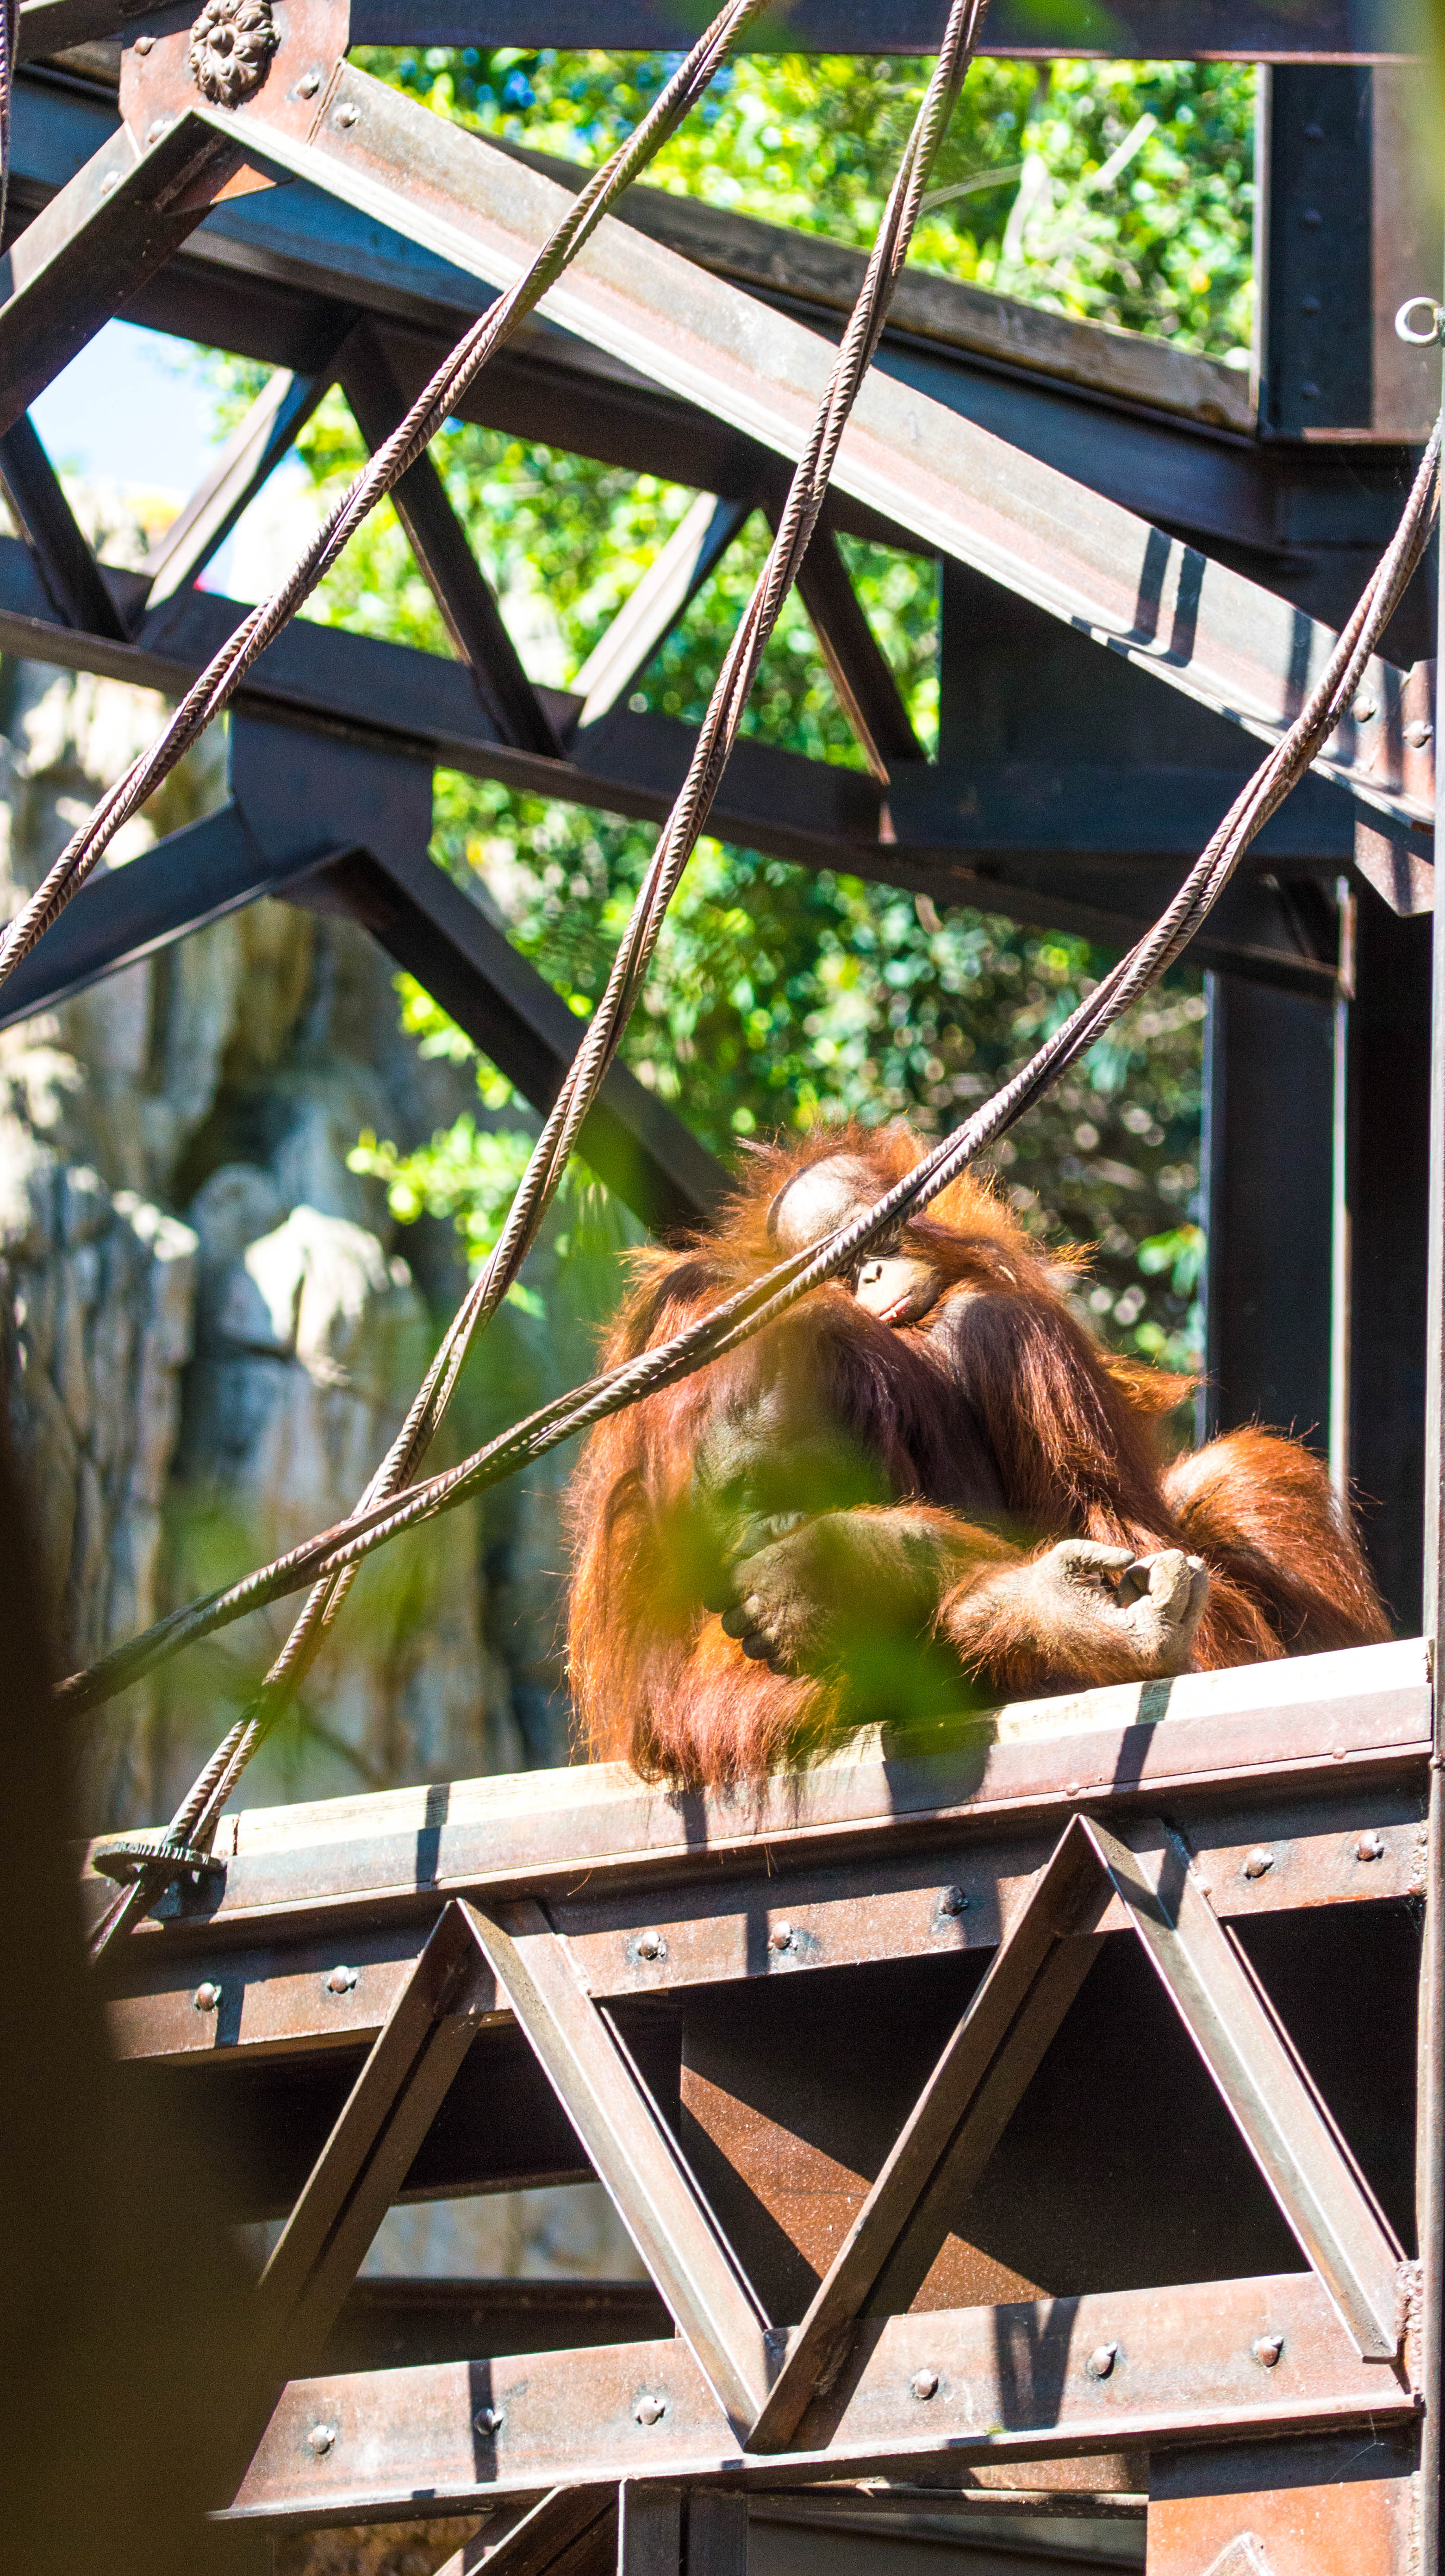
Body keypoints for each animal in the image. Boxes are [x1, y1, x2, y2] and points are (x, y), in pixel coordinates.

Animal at [566, 1125, 1389, 1786]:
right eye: (738, 1504)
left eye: (873, 1245)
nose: (868, 1276)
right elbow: (670, 1703)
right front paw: (1043, 1606)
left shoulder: (1011, 1334)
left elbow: (1187, 1607)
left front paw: (850, 1566)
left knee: (1236, 1478)